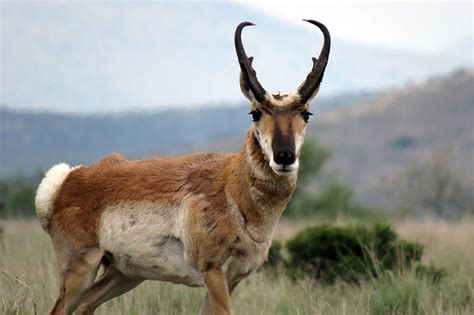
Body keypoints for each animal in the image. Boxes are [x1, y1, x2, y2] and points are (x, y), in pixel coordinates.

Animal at [34, 20, 330, 315]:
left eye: (306, 114)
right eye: (255, 112)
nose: (284, 156)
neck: (231, 188)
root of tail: (68, 178)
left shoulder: (232, 278)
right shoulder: (213, 271)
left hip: (124, 274)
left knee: (85, 306)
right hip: (80, 270)